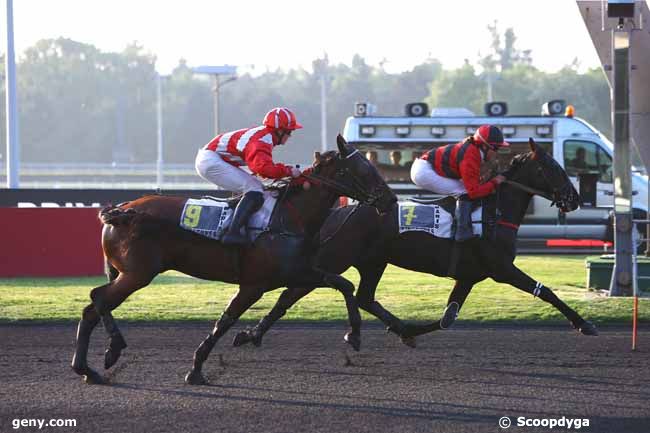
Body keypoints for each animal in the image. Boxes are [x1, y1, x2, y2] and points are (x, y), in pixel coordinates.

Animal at [71, 135, 394, 384]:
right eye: (362, 169)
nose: (390, 200)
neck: (289, 217)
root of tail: (122, 210)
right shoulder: (254, 284)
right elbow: (225, 321)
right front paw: (196, 369)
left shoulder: (295, 272)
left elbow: (342, 284)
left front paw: (354, 334)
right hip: (138, 273)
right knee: (97, 299)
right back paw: (105, 354)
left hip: (125, 272)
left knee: (94, 306)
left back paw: (94, 364)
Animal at [233, 138, 596, 348]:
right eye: (552, 166)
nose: (574, 198)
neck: (494, 213)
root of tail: (341, 211)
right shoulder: (502, 269)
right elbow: (545, 292)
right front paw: (584, 324)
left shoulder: (469, 275)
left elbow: (448, 317)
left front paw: (411, 331)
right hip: (338, 257)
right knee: (292, 293)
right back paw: (252, 334)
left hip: (373, 261)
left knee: (364, 297)